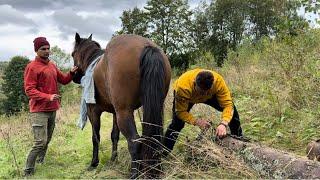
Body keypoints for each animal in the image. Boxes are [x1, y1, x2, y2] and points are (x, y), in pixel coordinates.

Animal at [71, 32, 171, 179]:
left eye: (73, 54)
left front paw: (94, 163)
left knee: (134, 141)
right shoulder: (114, 113)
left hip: (124, 113)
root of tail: (147, 46)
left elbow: (95, 137)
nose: (75, 77)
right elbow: (114, 135)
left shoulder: (93, 112)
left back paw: (134, 173)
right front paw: (113, 159)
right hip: (154, 107)